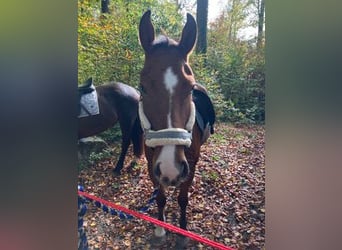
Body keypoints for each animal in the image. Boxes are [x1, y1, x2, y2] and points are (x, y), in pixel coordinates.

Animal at [138, 10, 215, 247]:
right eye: (142, 87)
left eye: (190, 88)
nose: (170, 169)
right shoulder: (152, 165)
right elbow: (161, 197)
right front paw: (161, 228)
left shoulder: (190, 165)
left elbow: (182, 199)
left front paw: (181, 231)